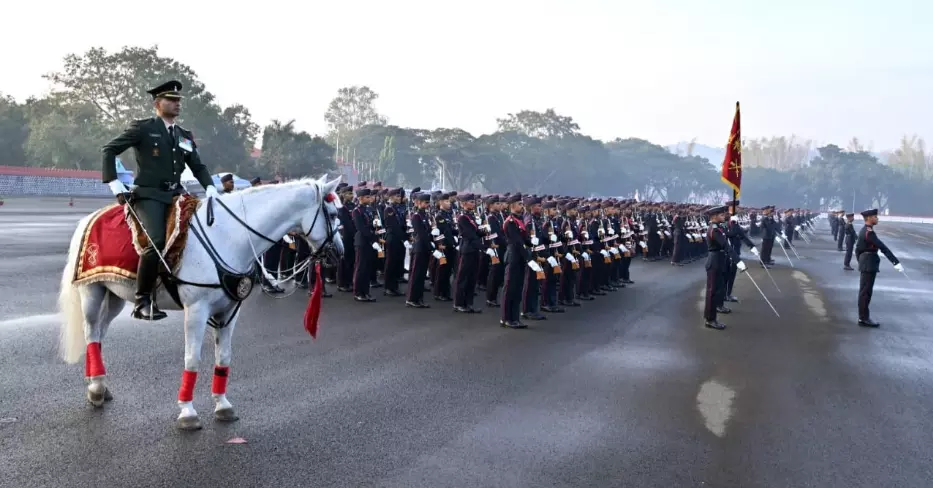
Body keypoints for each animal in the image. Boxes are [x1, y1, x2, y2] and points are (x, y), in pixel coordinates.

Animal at [57, 176, 342, 430]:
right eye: (332, 213)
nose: (338, 253)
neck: (230, 238)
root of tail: (89, 219)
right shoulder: (196, 310)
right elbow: (192, 358)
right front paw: (187, 411)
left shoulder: (230, 310)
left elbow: (224, 356)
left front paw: (223, 405)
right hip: (92, 291)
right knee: (91, 331)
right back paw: (96, 388)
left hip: (115, 294)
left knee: (99, 333)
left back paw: (98, 383)